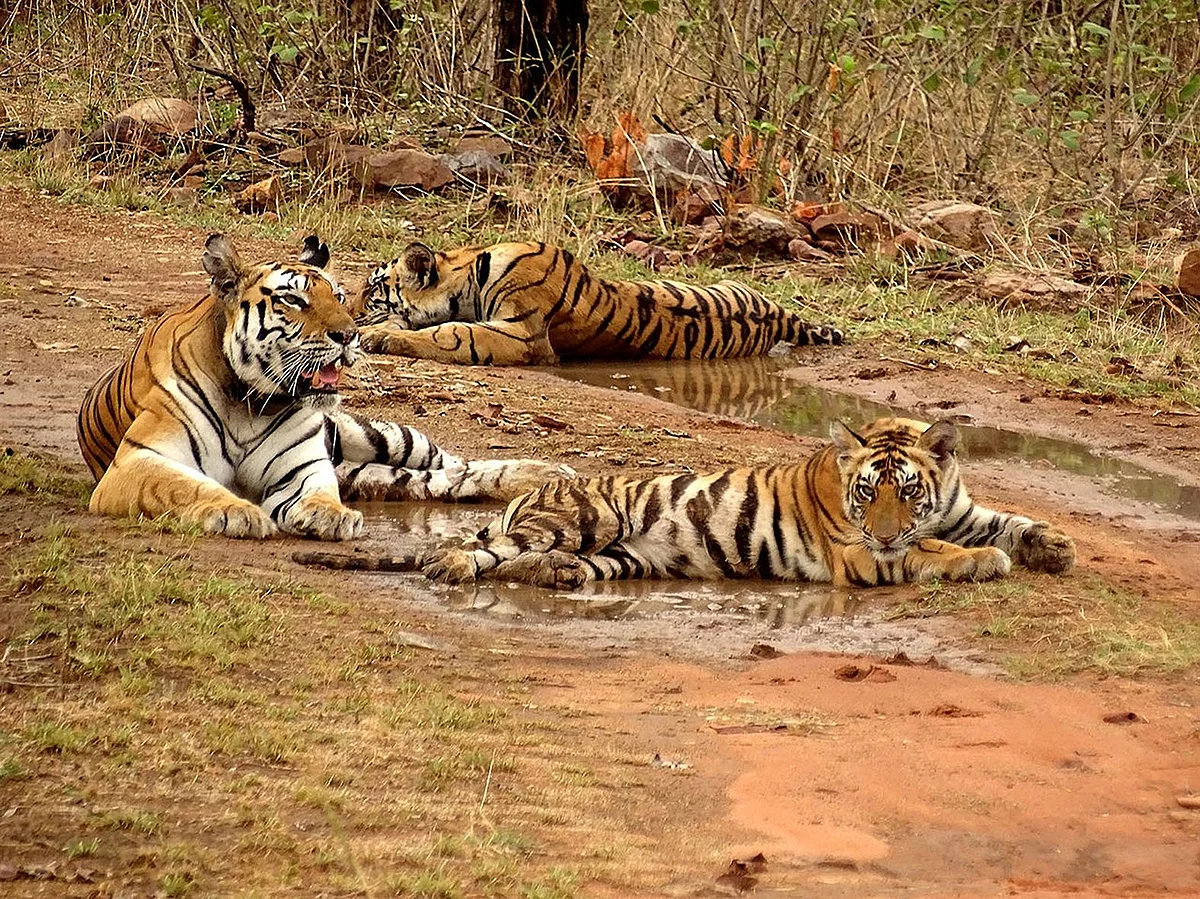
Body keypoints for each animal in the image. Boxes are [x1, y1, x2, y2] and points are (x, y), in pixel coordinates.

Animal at [77, 233, 572, 540]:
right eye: (293, 299)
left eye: (336, 295)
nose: (350, 335)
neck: (249, 402)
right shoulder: (138, 461)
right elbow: (187, 486)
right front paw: (235, 511)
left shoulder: (304, 466)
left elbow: (316, 490)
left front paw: (328, 516)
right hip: (367, 468)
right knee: (434, 481)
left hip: (380, 436)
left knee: (454, 465)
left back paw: (548, 474)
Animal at [356, 241, 844, 365]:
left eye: (374, 287)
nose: (350, 306)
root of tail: (779, 315)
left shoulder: (526, 335)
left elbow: (451, 332)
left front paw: (377, 335)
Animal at [421, 417, 1076, 588]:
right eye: (868, 493)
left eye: (910, 490)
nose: (888, 532)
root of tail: (533, 489)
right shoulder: (860, 552)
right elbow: (931, 549)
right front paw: (983, 562)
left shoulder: (962, 512)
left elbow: (1009, 521)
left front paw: (1055, 545)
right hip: (586, 518)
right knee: (480, 552)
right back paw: (449, 566)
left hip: (621, 557)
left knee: (526, 565)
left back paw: (556, 575)